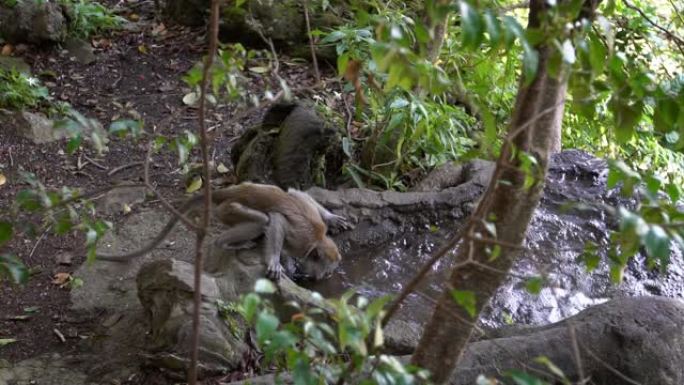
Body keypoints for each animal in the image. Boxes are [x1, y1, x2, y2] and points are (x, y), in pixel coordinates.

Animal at [99, 183, 350, 280]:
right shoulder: (301, 238)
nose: (321, 278)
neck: (318, 239)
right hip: (228, 210)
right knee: (262, 220)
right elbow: (277, 220)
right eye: (325, 271)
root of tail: (231, 191)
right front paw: (275, 260)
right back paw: (224, 243)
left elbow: (295, 192)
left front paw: (331, 218)